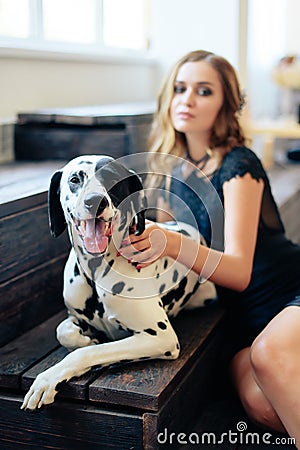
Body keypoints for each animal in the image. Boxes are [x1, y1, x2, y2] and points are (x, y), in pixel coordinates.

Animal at [21, 155, 218, 412]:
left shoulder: (160, 337)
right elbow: (62, 331)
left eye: (112, 178)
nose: (95, 201)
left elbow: (86, 353)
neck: (96, 272)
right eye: (75, 179)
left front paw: (48, 378)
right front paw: (84, 338)